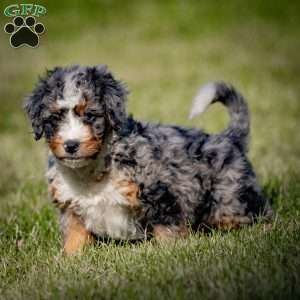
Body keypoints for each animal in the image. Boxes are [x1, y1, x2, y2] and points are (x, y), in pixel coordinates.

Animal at [25, 64, 272, 254]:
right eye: (55, 118)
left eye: (90, 115)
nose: (71, 145)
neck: (92, 170)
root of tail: (229, 138)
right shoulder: (71, 208)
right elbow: (74, 238)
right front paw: (69, 260)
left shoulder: (160, 193)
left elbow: (167, 231)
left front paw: (172, 254)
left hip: (231, 199)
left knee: (257, 216)